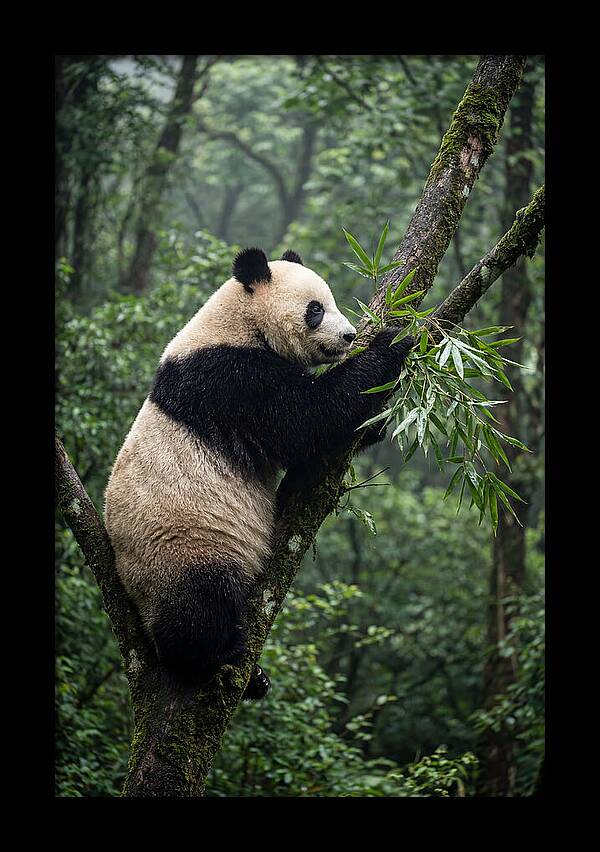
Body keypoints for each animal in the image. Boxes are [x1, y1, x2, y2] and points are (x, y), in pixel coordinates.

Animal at [104, 248, 412, 698]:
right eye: (316, 310)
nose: (349, 336)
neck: (238, 322)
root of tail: (132, 592)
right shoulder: (229, 378)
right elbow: (306, 418)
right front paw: (394, 341)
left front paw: (376, 422)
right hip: (182, 544)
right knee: (198, 604)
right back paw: (216, 655)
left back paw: (256, 678)